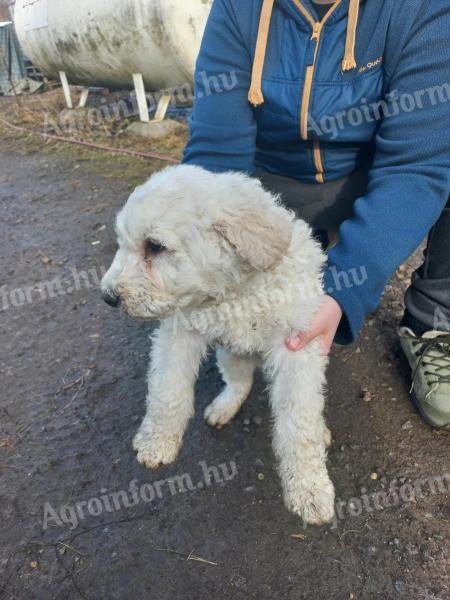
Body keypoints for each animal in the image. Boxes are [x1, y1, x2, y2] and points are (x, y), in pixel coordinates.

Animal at [101, 165, 334, 524]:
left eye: (155, 246)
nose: (108, 297)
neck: (234, 293)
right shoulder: (178, 332)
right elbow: (167, 391)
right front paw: (157, 441)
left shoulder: (297, 345)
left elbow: (300, 421)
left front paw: (309, 489)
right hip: (230, 352)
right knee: (240, 381)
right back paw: (224, 407)